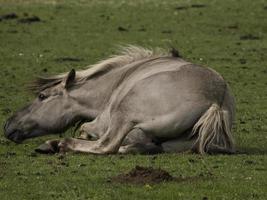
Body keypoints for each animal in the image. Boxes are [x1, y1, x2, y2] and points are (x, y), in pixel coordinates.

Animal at [3, 45, 236, 155]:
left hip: (124, 114)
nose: (7, 125)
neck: (115, 84)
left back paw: (60, 144)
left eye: (42, 96)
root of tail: (216, 100)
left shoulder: (102, 121)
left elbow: (86, 130)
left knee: (106, 146)